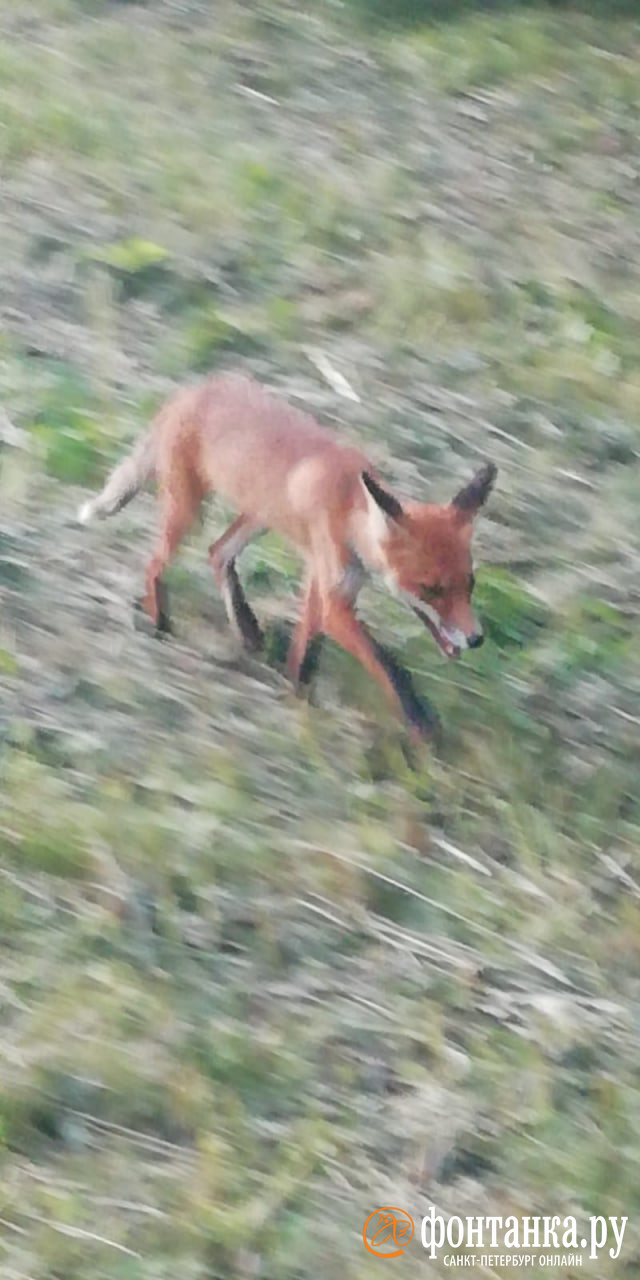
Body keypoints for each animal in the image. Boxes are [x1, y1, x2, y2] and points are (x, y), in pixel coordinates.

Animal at [76, 373, 494, 742]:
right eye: (431, 589)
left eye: (470, 584)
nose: (476, 639)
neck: (347, 507)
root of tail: (188, 390)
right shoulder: (334, 599)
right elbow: (387, 663)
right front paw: (421, 722)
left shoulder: (323, 581)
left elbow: (307, 646)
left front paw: (297, 688)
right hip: (188, 512)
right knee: (155, 563)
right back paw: (159, 620)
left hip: (258, 517)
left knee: (217, 553)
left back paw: (247, 631)